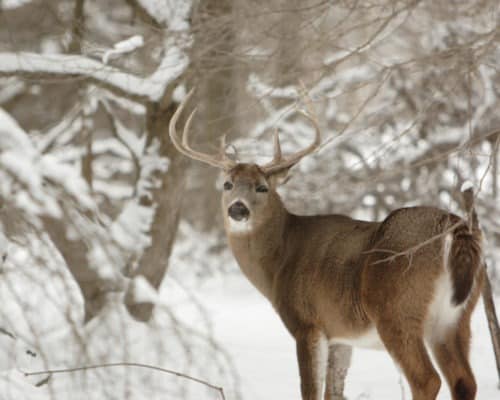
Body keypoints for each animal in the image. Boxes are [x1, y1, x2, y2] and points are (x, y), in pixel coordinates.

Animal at [169, 90, 484, 400]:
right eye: (227, 184)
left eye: (262, 187)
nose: (237, 209)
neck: (279, 260)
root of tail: (453, 226)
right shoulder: (340, 334)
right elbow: (334, 391)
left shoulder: (307, 322)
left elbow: (310, 390)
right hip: (456, 318)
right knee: (464, 381)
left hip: (397, 309)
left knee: (427, 379)